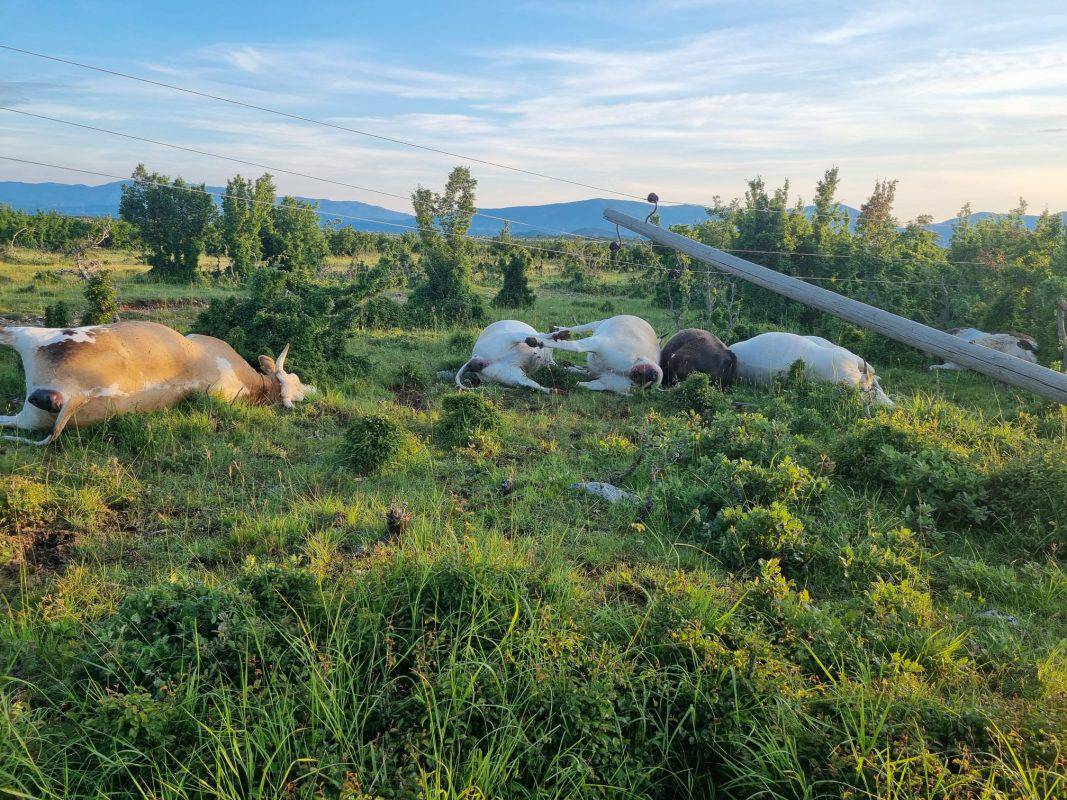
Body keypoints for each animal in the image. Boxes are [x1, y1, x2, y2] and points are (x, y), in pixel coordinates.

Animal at [529, 315, 661, 398]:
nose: (651, 376)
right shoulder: (598, 343)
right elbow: (575, 346)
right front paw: (537, 340)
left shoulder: (602, 382)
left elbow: (583, 382)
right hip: (599, 323)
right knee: (579, 328)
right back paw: (557, 330)